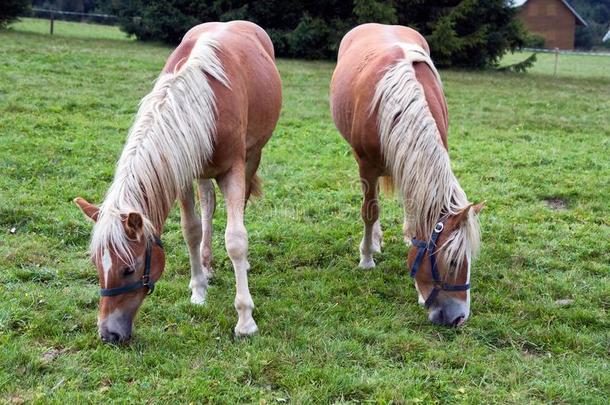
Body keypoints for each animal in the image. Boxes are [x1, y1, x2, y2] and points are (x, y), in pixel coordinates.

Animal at [73, 19, 280, 340]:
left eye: (128, 269)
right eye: (97, 264)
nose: (108, 334)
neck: (204, 98)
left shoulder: (233, 169)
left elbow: (235, 238)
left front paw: (245, 319)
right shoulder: (181, 171)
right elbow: (191, 229)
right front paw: (198, 290)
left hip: (252, 156)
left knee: (240, 206)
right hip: (203, 172)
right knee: (208, 205)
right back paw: (206, 265)